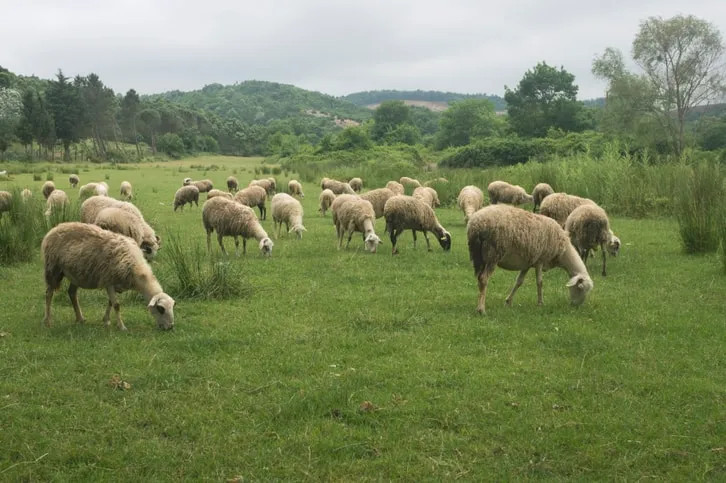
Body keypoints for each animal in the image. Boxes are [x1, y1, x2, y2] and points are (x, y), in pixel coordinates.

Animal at [41, 224, 176, 330]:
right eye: (161, 308)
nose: (170, 327)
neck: (137, 270)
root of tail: (54, 229)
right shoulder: (109, 280)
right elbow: (116, 305)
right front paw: (122, 327)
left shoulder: (116, 284)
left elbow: (110, 302)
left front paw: (106, 320)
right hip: (53, 268)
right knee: (49, 294)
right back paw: (48, 321)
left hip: (76, 273)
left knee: (72, 293)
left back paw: (80, 318)